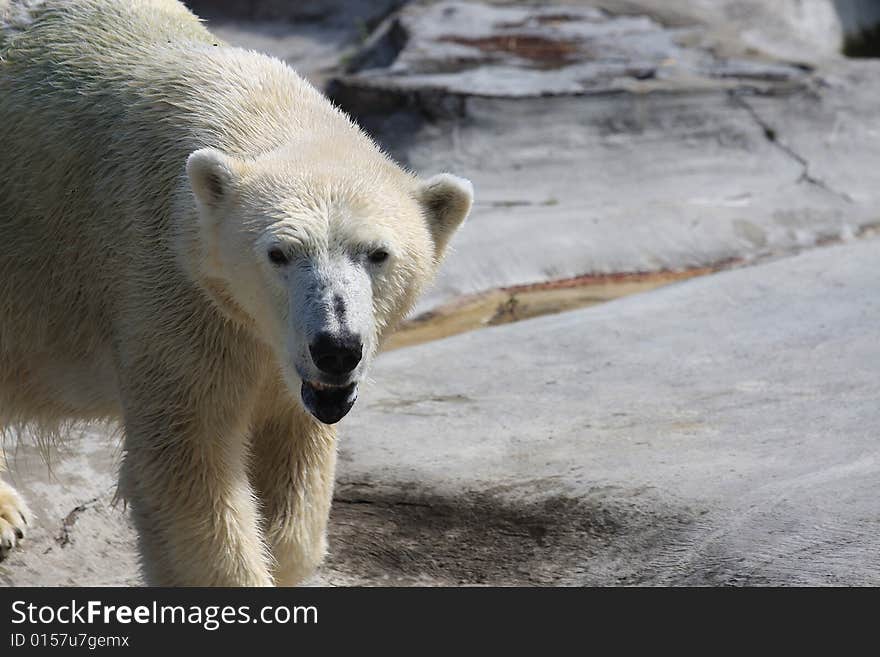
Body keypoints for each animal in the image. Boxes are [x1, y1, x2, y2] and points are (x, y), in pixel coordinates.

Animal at [0, 0, 470, 584]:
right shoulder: (172, 289)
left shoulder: (286, 367)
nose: (336, 347)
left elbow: (292, 457)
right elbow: (191, 470)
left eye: (377, 254)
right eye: (279, 254)